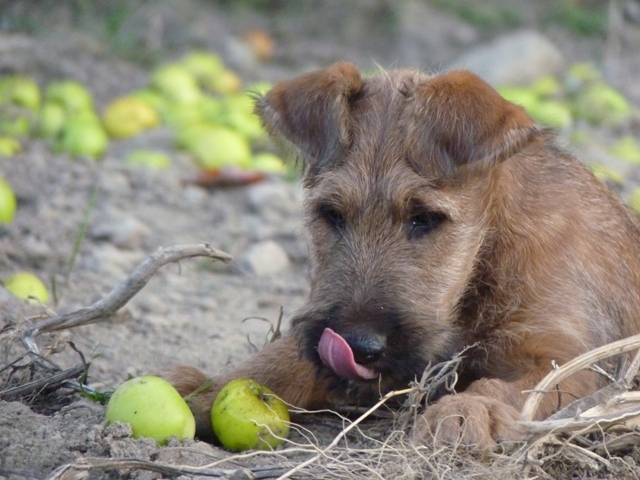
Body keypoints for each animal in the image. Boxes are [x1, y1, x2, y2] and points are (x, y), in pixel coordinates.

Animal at [164, 62, 640, 448]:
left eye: (424, 218)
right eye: (331, 214)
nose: (358, 346)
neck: (487, 257)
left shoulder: (568, 358)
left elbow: (520, 386)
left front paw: (467, 411)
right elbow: (281, 359)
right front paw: (205, 389)